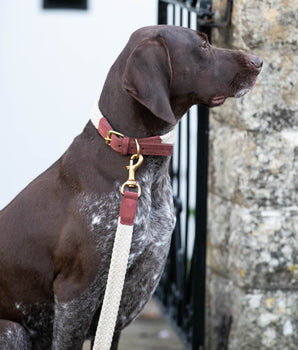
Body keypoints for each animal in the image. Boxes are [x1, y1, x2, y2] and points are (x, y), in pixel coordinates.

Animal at [0, 25, 260, 350]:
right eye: (202, 46)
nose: (259, 60)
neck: (137, 159)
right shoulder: (75, 293)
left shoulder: (122, 299)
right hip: (12, 330)